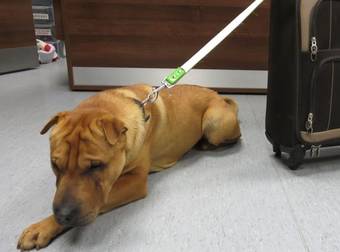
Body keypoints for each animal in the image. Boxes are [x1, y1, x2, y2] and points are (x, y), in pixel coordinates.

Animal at [17, 84, 240, 250]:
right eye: (54, 164)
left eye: (96, 166)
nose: (63, 214)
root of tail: (220, 96)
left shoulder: (134, 181)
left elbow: (101, 200)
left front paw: (43, 227)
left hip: (214, 122)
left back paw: (204, 144)